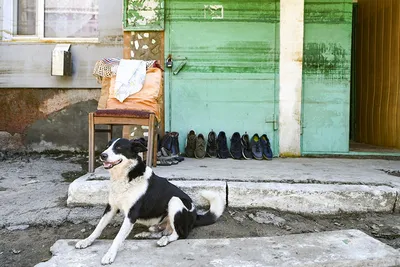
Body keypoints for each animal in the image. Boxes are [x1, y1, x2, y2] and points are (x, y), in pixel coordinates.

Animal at [75, 139, 225, 264]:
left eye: (118, 147)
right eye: (107, 146)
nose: (102, 155)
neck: (126, 177)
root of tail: (195, 215)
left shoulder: (131, 214)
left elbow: (118, 237)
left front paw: (109, 255)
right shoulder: (111, 207)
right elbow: (98, 228)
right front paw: (86, 241)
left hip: (175, 201)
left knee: (179, 234)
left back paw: (164, 240)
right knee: (163, 230)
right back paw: (146, 234)